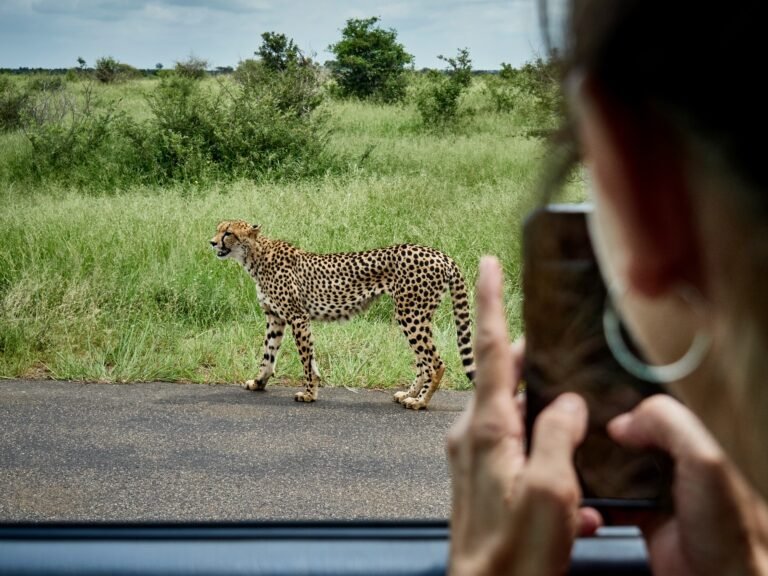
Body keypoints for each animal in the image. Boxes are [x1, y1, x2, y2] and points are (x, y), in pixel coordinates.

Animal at [209, 220, 475, 410]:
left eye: (228, 232)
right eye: (218, 229)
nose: (211, 242)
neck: (255, 256)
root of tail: (440, 253)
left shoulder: (298, 317)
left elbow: (306, 359)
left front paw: (309, 393)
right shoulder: (275, 317)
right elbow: (268, 354)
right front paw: (258, 382)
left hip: (411, 314)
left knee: (436, 363)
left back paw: (420, 401)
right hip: (414, 315)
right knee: (423, 362)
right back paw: (408, 394)